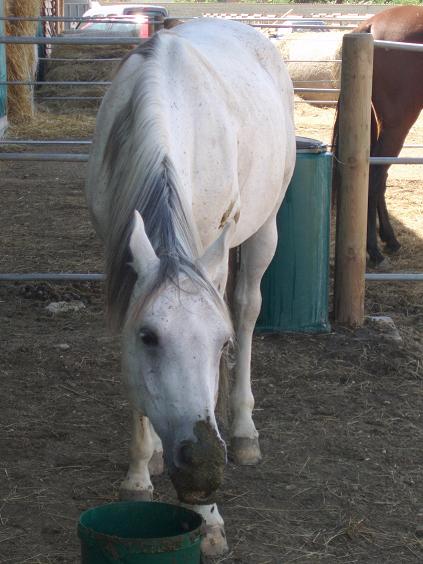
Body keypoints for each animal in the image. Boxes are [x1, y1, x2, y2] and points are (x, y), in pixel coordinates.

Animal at [86, 16, 296, 556]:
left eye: (219, 343)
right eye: (148, 338)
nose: (203, 474)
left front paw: (207, 517)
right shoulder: (117, 255)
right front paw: (141, 470)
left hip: (264, 231)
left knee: (246, 308)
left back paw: (242, 430)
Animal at [334, 6, 423, 266]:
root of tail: (369, 26)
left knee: (379, 176)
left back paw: (389, 239)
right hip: (397, 124)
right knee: (375, 177)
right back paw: (374, 250)